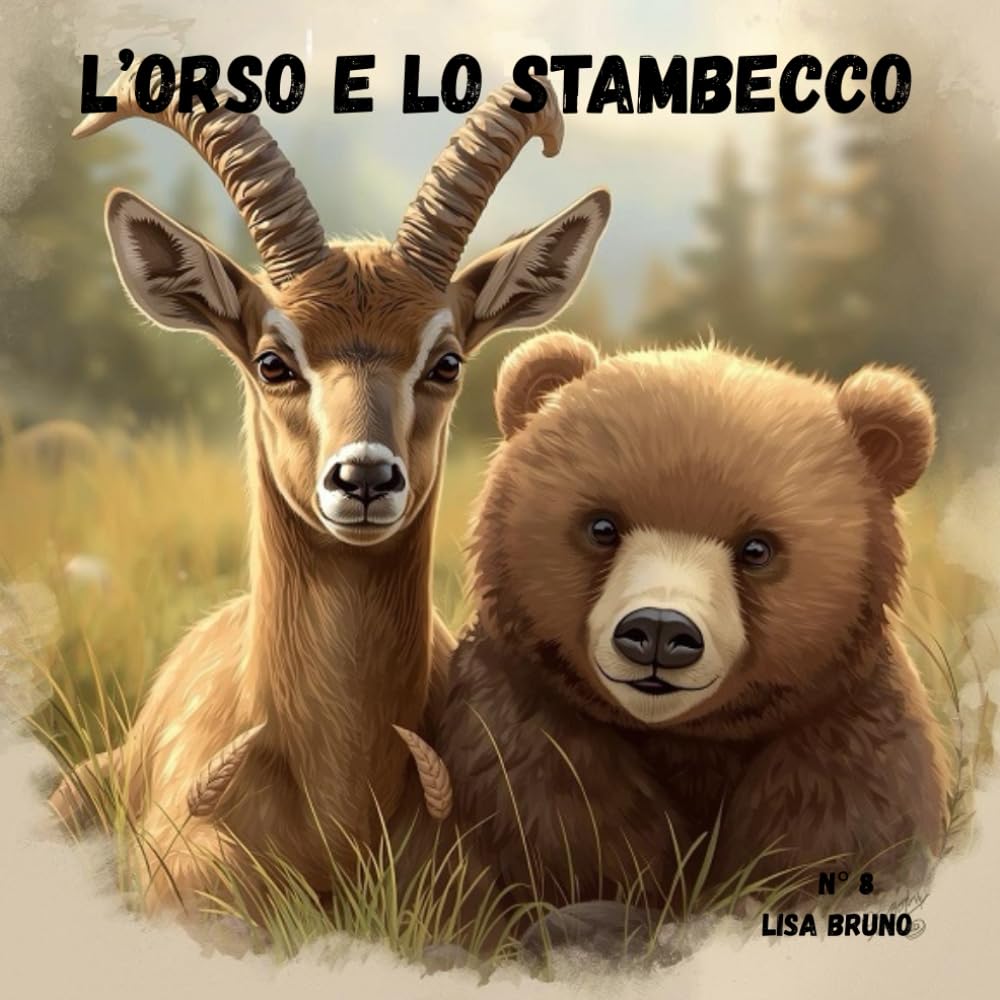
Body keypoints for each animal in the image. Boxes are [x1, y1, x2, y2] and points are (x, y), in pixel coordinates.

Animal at [428, 330, 950, 913]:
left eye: (757, 548)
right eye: (602, 526)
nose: (659, 630)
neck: (690, 738)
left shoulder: (847, 731)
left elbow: (837, 841)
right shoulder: (521, 718)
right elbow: (564, 824)